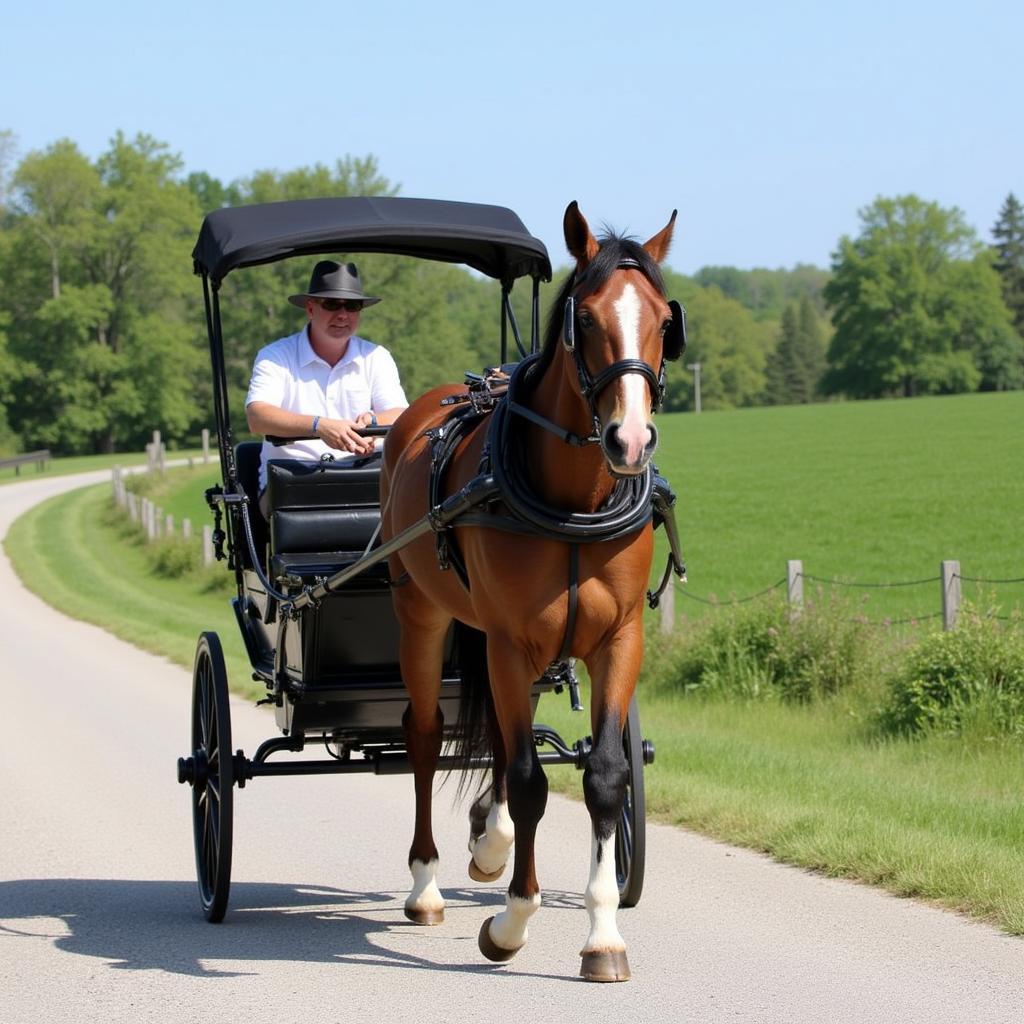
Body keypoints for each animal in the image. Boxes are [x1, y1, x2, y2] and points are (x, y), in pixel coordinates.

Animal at [380, 201, 684, 983]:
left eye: (663, 319)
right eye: (587, 318)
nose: (630, 440)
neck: (573, 503)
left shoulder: (616, 640)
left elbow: (604, 775)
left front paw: (603, 935)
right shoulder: (510, 642)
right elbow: (527, 781)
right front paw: (512, 922)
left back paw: (489, 842)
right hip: (422, 615)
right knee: (426, 736)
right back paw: (426, 885)